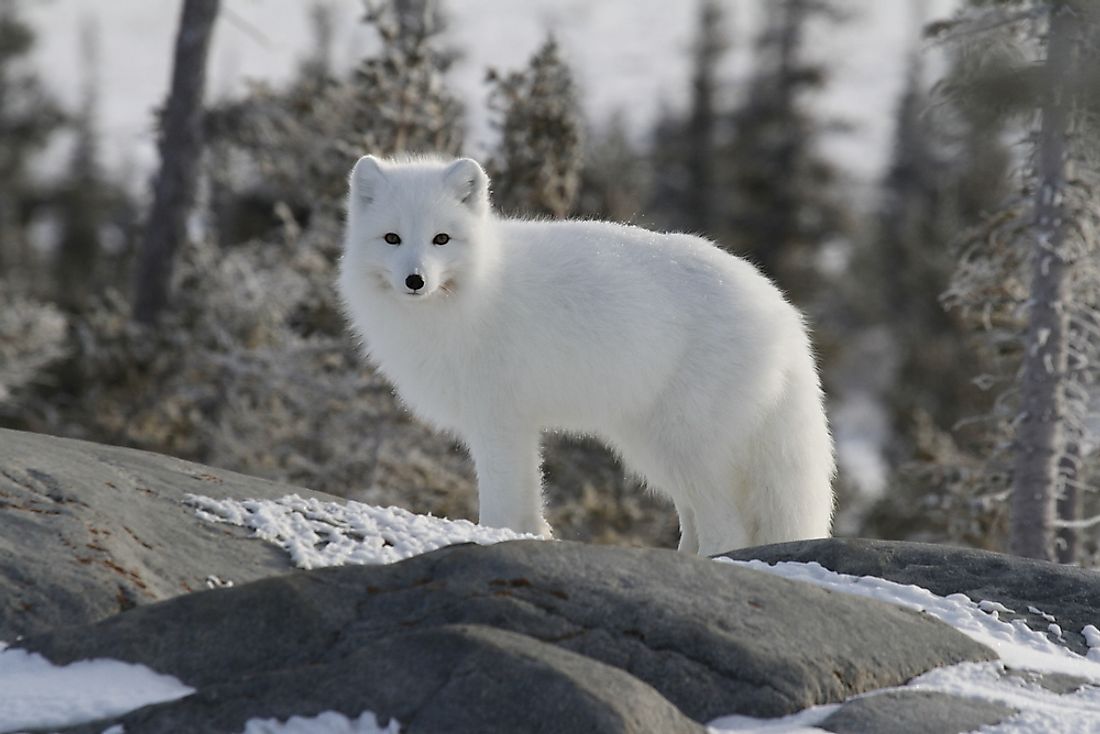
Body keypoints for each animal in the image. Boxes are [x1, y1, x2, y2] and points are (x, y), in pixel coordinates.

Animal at [336, 156, 831, 556]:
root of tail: (780, 308)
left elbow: (500, 501)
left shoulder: (498, 419)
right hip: (653, 445)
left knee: (728, 528)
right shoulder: (512, 425)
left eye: (441, 239)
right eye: (392, 238)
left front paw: (494, 538)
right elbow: (526, 501)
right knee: (695, 518)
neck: (476, 290)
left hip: (685, 442)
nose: (415, 280)